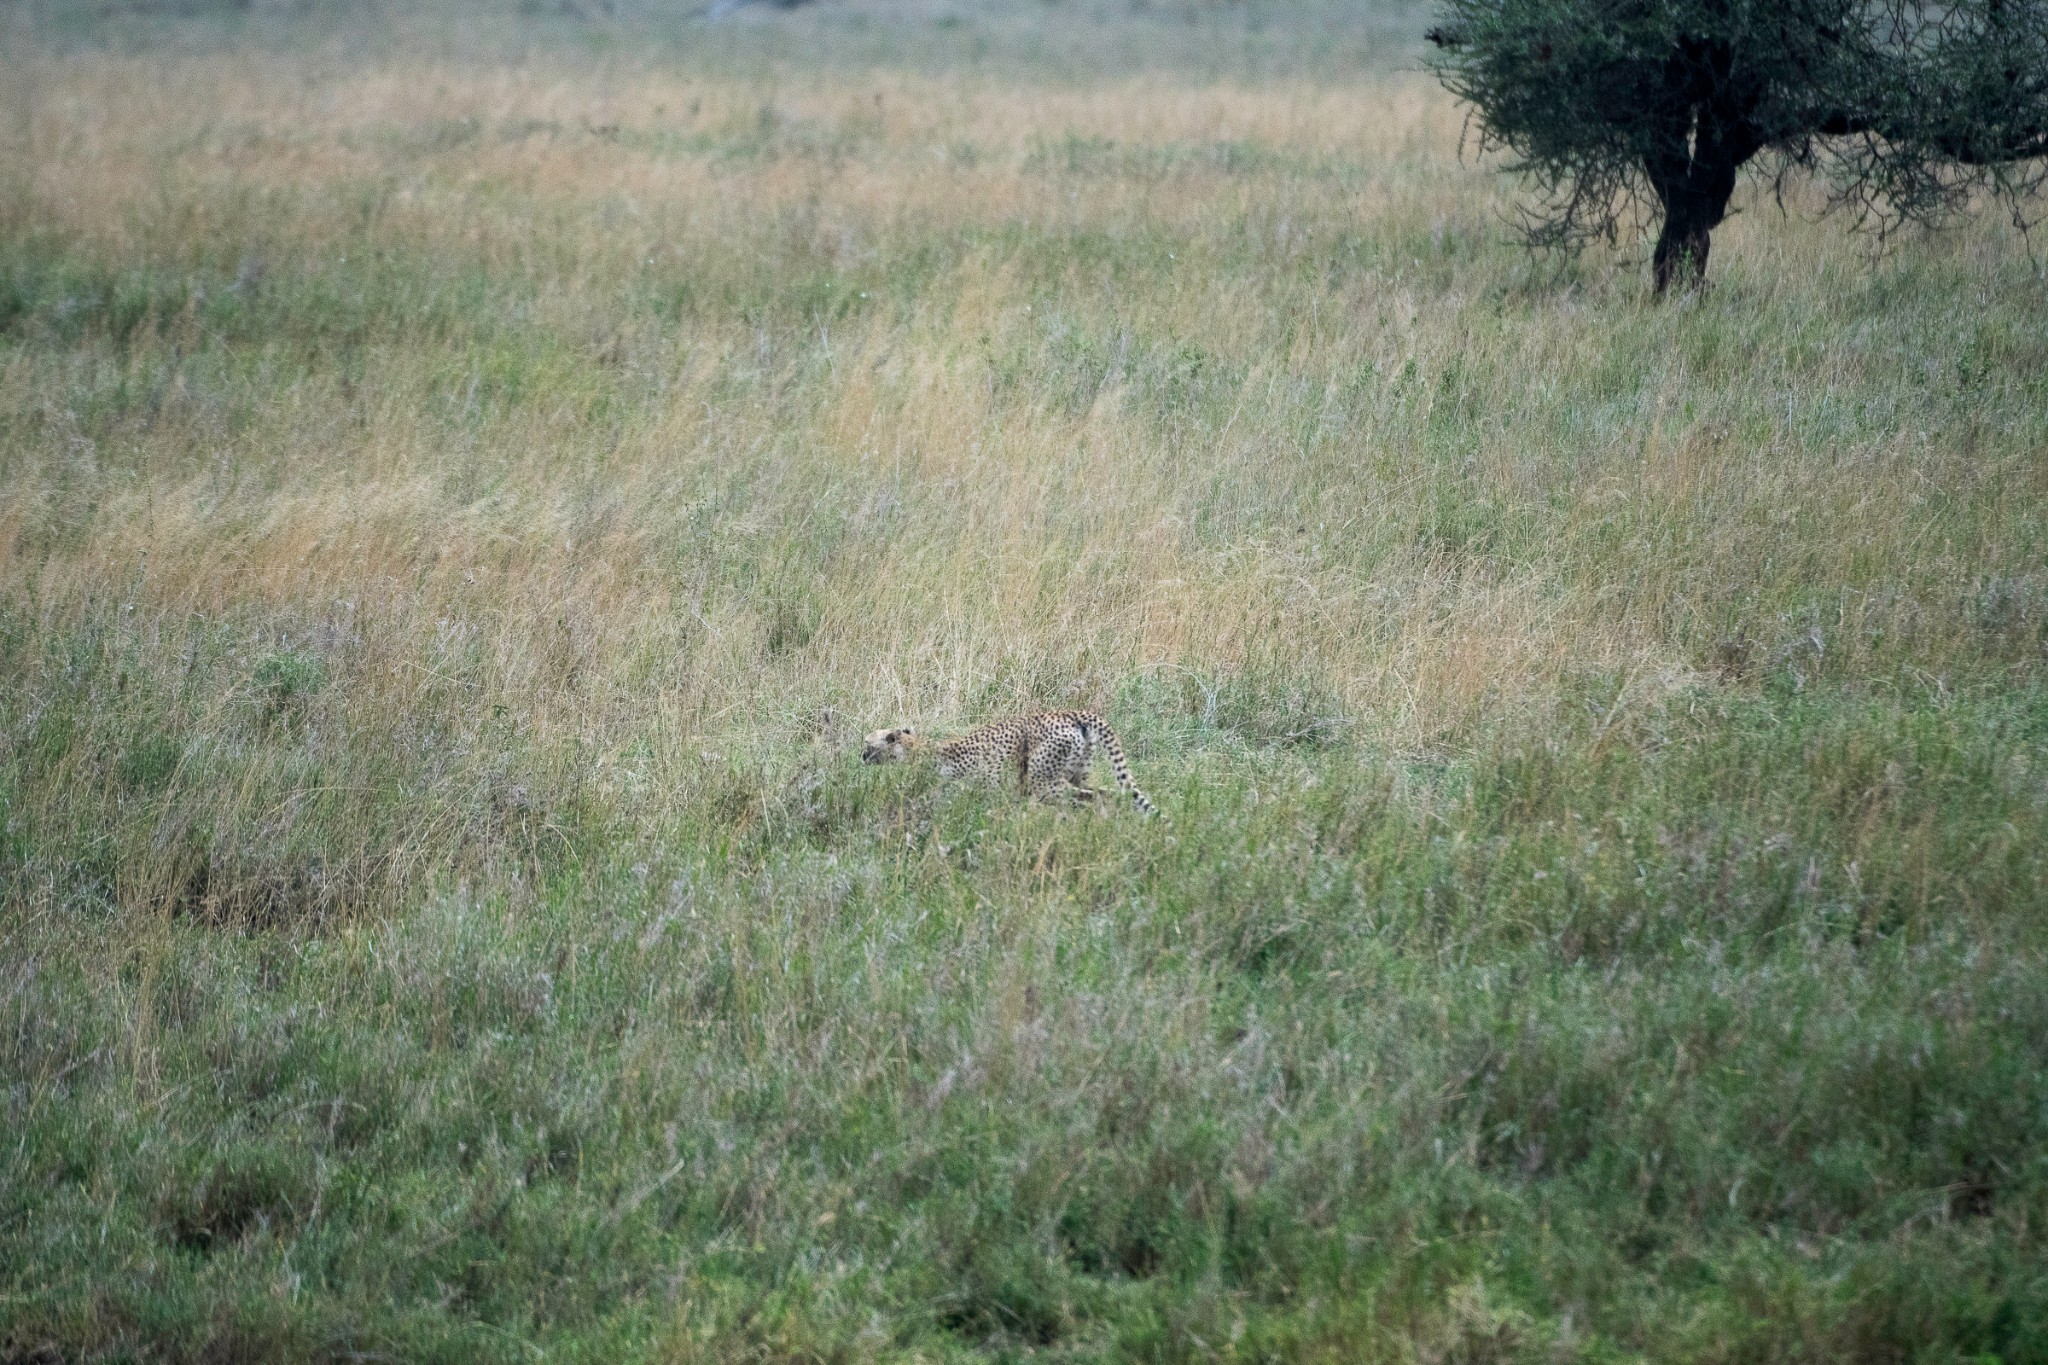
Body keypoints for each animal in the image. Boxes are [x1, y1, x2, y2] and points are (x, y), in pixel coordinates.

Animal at [856, 712, 1163, 818]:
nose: (861, 755)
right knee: (1107, 794)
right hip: (1075, 776)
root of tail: (1073, 713)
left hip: (1045, 783)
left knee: (1089, 798)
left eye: (868, 743)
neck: (915, 748)